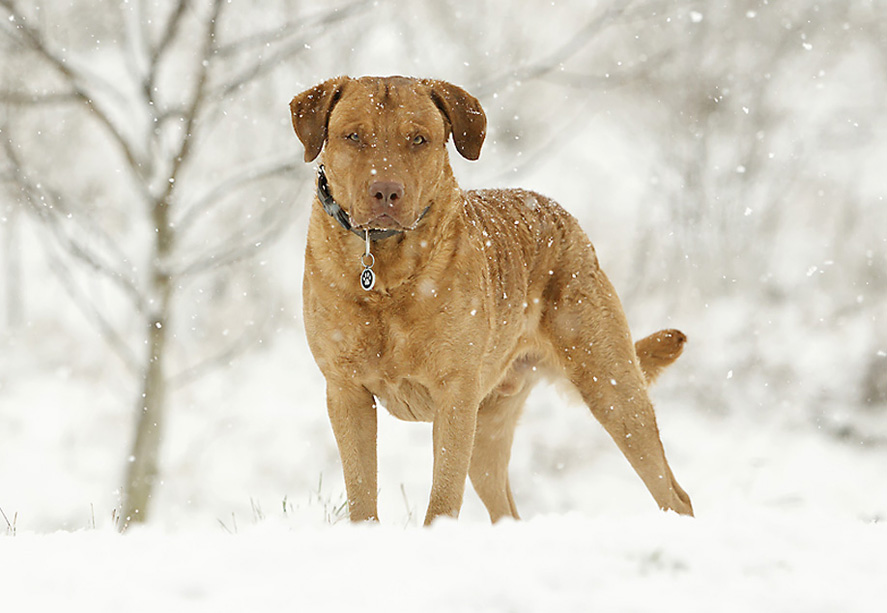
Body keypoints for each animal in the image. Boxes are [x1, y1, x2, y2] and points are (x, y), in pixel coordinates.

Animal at [292, 75, 692, 524]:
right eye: (354, 136)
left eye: (418, 139)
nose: (386, 192)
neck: (386, 274)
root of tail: (567, 220)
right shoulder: (346, 392)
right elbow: (361, 493)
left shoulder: (455, 396)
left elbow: (443, 497)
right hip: (490, 424)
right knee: (507, 510)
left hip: (610, 384)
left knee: (673, 493)